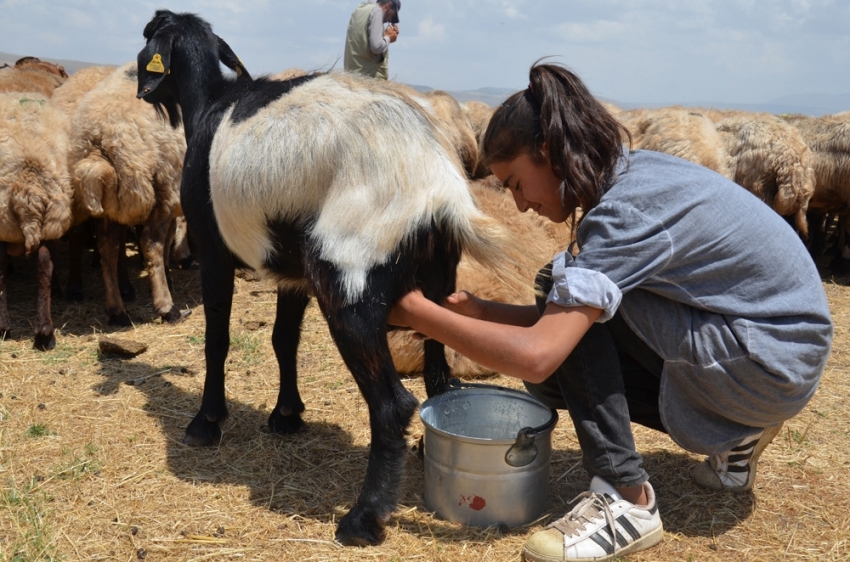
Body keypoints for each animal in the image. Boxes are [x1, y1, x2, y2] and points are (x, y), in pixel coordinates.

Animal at [69, 60, 189, 324]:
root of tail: (100, 137)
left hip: (115, 202)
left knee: (107, 247)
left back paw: (117, 310)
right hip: (158, 187)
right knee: (150, 242)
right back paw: (167, 307)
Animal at [136, 7, 520, 544]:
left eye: (147, 39)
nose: (140, 90)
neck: (208, 105)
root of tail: (440, 192)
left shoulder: (213, 251)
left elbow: (217, 339)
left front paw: (206, 422)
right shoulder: (291, 271)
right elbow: (282, 339)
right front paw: (286, 415)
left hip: (348, 278)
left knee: (392, 406)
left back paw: (364, 518)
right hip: (438, 280)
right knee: (441, 376)